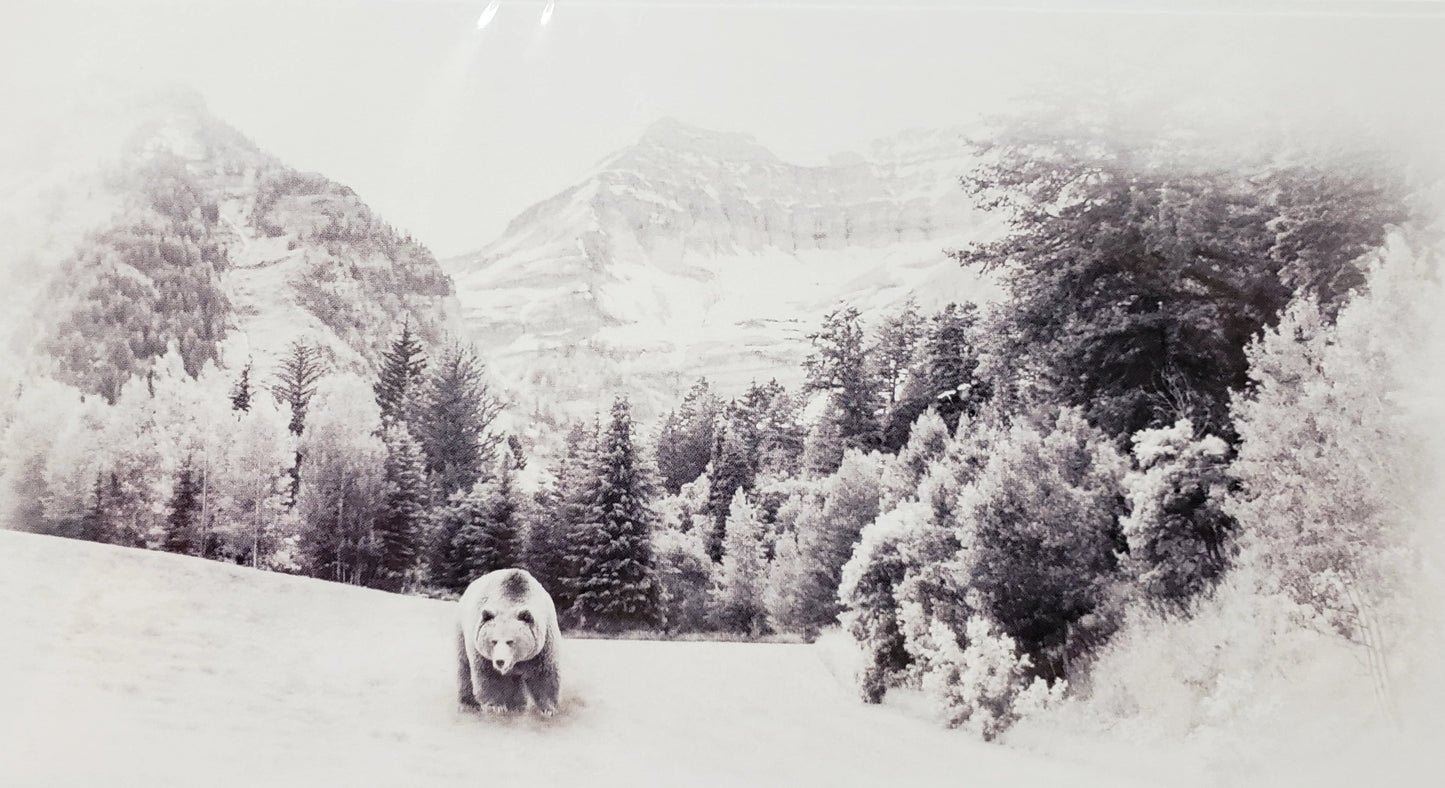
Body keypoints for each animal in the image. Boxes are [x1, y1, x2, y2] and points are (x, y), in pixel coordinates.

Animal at [456, 568, 561, 715]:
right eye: (493, 641)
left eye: (510, 641)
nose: (500, 661)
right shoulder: (484, 654)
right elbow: (488, 675)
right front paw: (496, 706)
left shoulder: (543, 644)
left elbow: (544, 674)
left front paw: (548, 709)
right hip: (463, 631)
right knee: (464, 669)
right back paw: (468, 703)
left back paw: (517, 704)